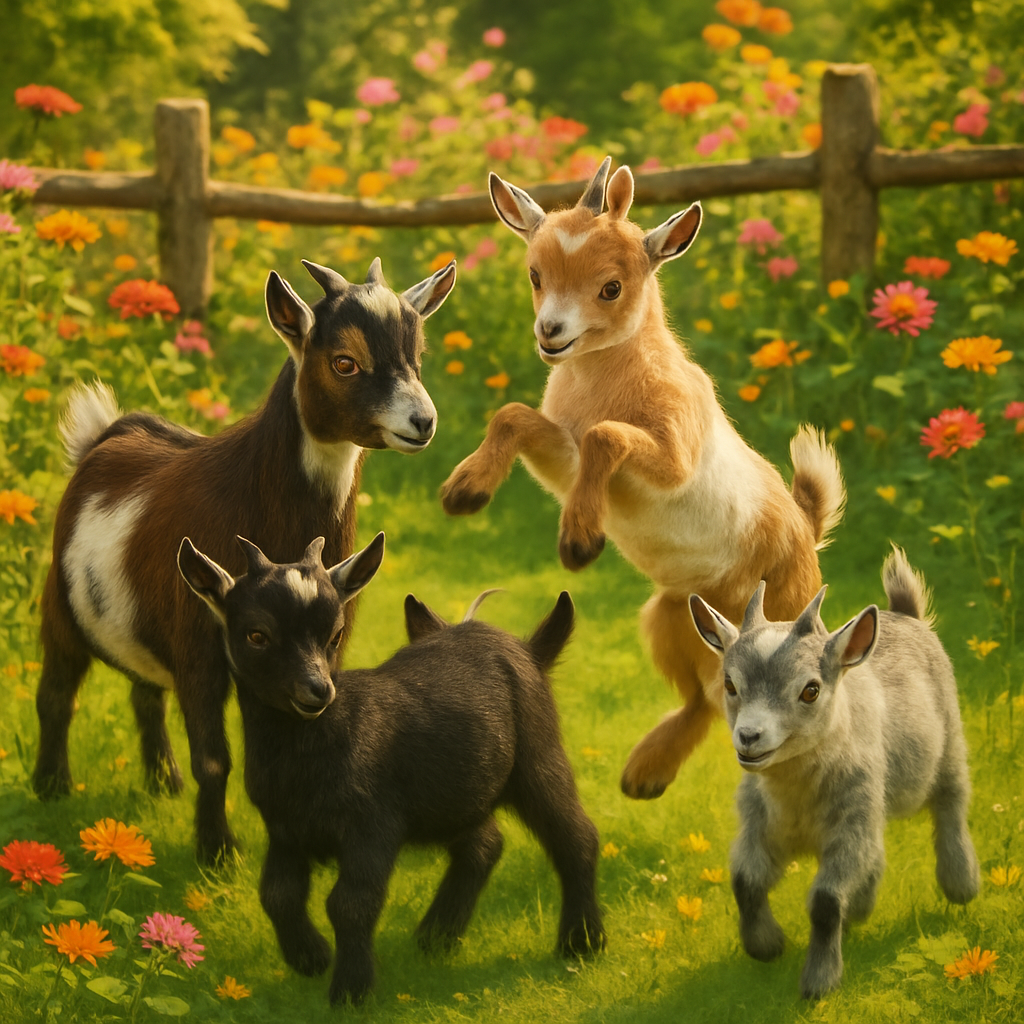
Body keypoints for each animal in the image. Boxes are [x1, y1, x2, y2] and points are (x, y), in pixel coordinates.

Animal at [32, 257, 456, 863]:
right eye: (344, 362)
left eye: (416, 356)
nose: (422, 422)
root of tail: (104, 437)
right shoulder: (200, 642)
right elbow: (214, 759)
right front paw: (218, 853)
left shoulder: (328, 640)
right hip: (61, 607)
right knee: (57, 694)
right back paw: (52, 787)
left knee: (144, 694)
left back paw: (163, 783)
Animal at [177, 533, 605, 1005]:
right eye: (257, 634)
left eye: (335, 634)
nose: (317, 690)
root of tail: (528, 649)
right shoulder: (285, 828)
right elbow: (278, 894)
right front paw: (310, 958)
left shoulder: (372, 822)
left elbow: (349, 903)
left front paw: (351, 990)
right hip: (453, 792)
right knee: (484, 843)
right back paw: (436, 936)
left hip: (539, 754)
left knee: (575, 836)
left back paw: (582, 942)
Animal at [440, 157, 845, 801]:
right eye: (534, 274)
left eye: (612, 287)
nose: (551, 333)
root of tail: (807, 533)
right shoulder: (561, 455)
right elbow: (514, 416)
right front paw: (464, 493)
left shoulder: (671, 455)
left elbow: (607, 436)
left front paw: (579, 543)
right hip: (669, 617)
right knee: (707, 699)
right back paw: (643, 777)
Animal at [689, 547, 980, 999]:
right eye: (730, 685)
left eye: (810, 690)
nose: (749, 736)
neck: (795, 792)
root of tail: (904, 614)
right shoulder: (759, 823)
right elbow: (744, 881)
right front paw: (766, 946)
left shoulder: (848, 829)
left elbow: (825, 901)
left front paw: (818, 982)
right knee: (877, 851)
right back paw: (861, 908)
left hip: (948, 743)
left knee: (951, 803)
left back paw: (960, 883)